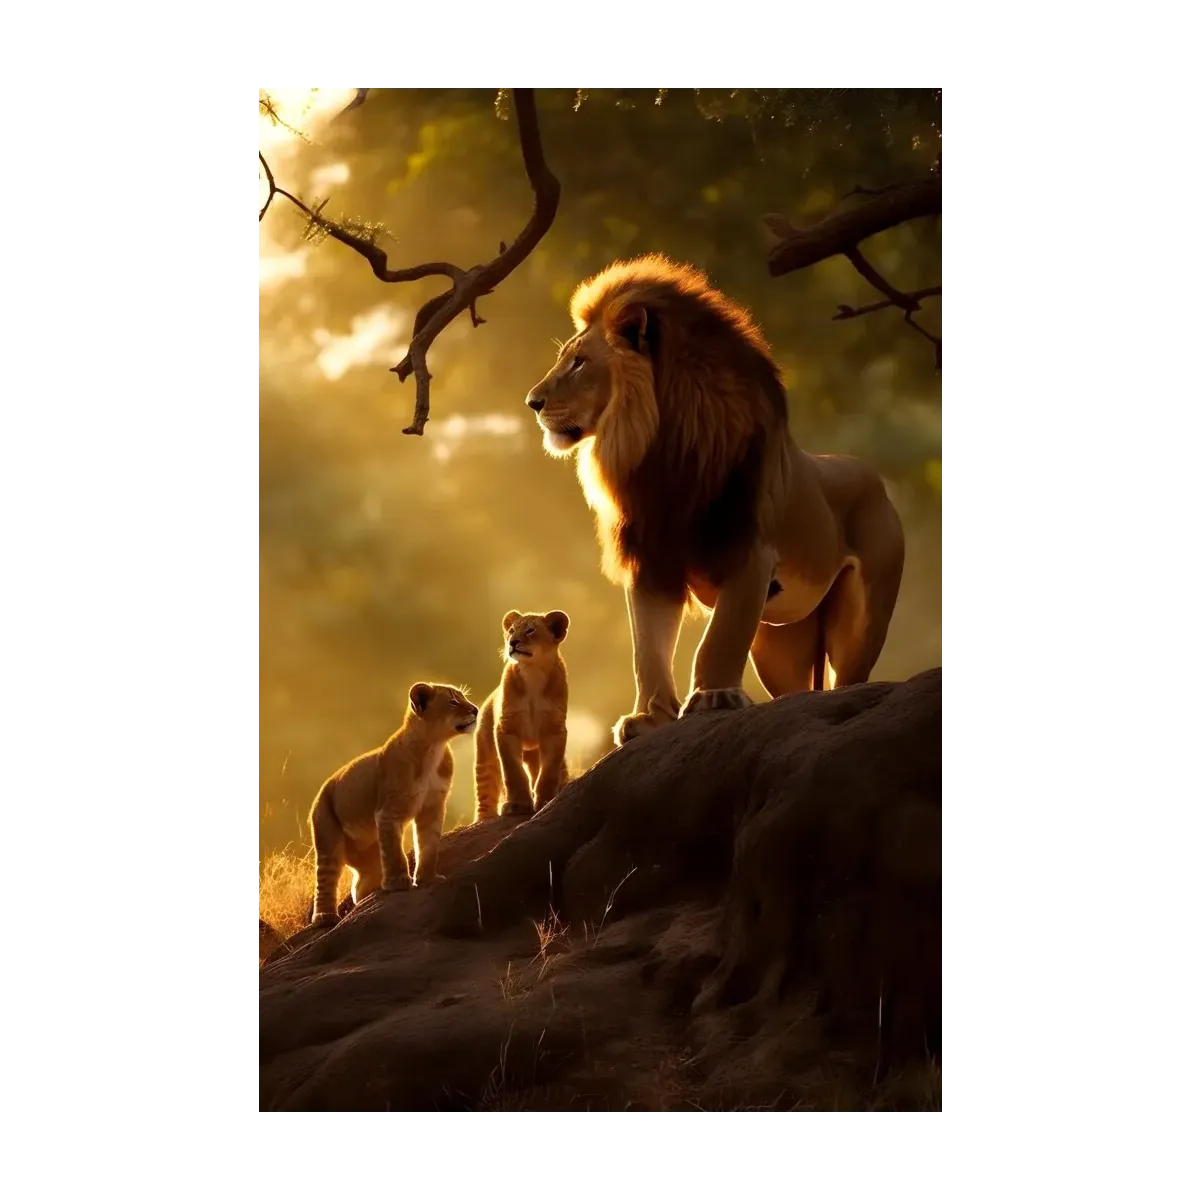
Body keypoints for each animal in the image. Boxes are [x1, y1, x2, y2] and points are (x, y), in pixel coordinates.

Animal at [308, 682, 477, 926]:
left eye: (463, 698)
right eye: (453, 701)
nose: (475, 710)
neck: (433, 747)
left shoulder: (432, 807)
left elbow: (428, 844)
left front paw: (428, 879)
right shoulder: (388, 813)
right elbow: (395, 852)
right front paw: (398, 883)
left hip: (367, 859)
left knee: (360, 886)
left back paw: (368, 896)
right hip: (327, 832)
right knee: (326, 879)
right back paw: (325, 918)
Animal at [474, 609, 571, 821]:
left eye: (530, 630)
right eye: (511, 630)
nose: (512, 642)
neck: (532, 671)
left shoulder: (555, 730)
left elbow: (549, 771)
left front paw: (545, 801)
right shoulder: (506, 728)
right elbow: (513, 772)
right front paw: (517, 804)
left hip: (535, 752)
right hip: (485, 755)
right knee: (485, 791)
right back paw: (484, 817)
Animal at [523, 254, 905, 746]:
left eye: (578, 363)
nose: (532, 402)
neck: (660, 451)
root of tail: (873, 477)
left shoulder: (748, 552)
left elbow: (719, 638)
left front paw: (712, 698)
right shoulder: (651, 562)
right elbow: (647, 649)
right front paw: (649, 717)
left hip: (861, 618)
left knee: (850, 676)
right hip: (780, 640)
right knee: (795, 690)